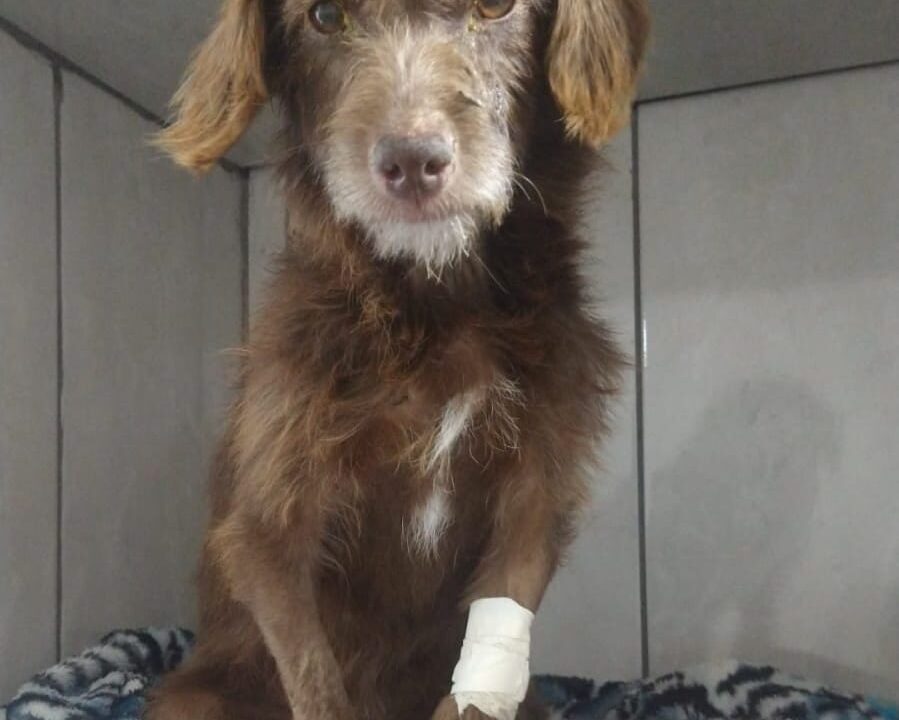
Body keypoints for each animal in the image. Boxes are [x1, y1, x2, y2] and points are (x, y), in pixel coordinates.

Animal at [145, 1, 648, 719]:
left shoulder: (534, 499)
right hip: (198, 697)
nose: (411, 163)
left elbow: (479, 675)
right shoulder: (270, 525)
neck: (437, 305)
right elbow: (314, 677)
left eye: (496, 8)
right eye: (324, 16)